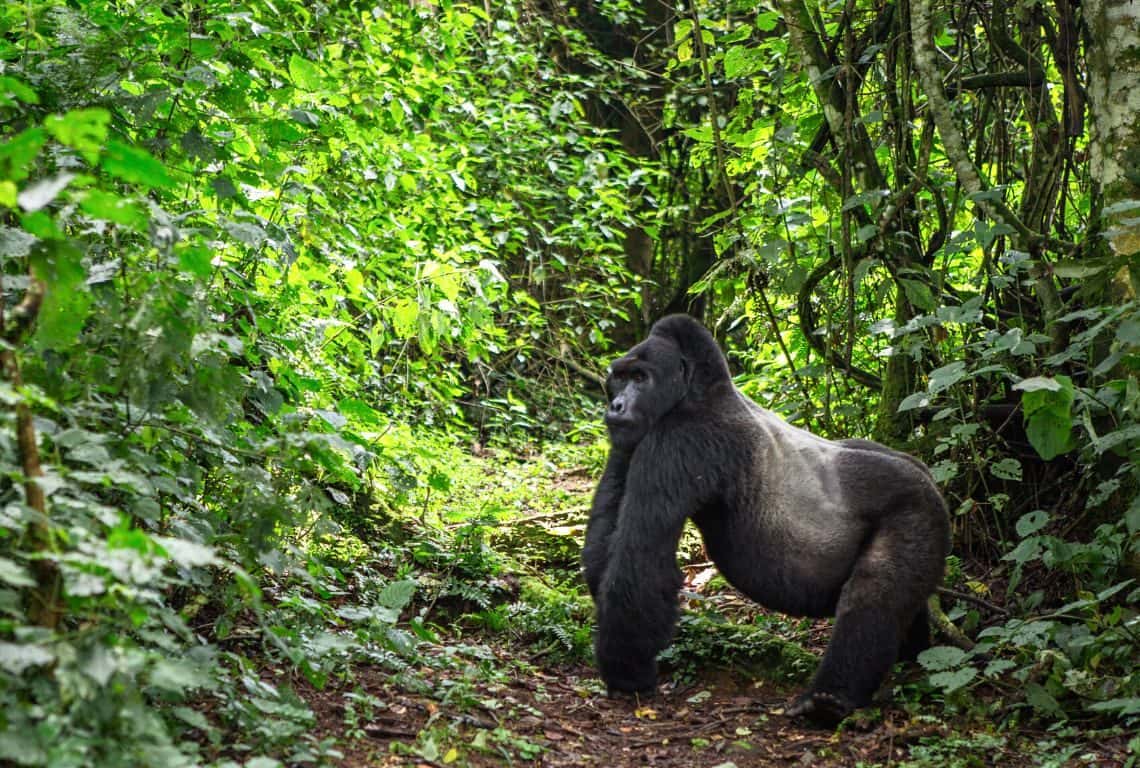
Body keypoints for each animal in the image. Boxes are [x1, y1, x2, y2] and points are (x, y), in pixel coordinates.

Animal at [583, 309, 948, 724]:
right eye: (619, 377)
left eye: (641, 378)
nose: (616, 406)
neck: (694, 390)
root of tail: (928, 478)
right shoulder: (631, 440)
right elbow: (602, 549)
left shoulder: (678, 439)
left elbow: (640, 564)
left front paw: (628, 675)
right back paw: (910, 656)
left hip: (916, 511)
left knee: (873, 594)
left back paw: (828, 699)